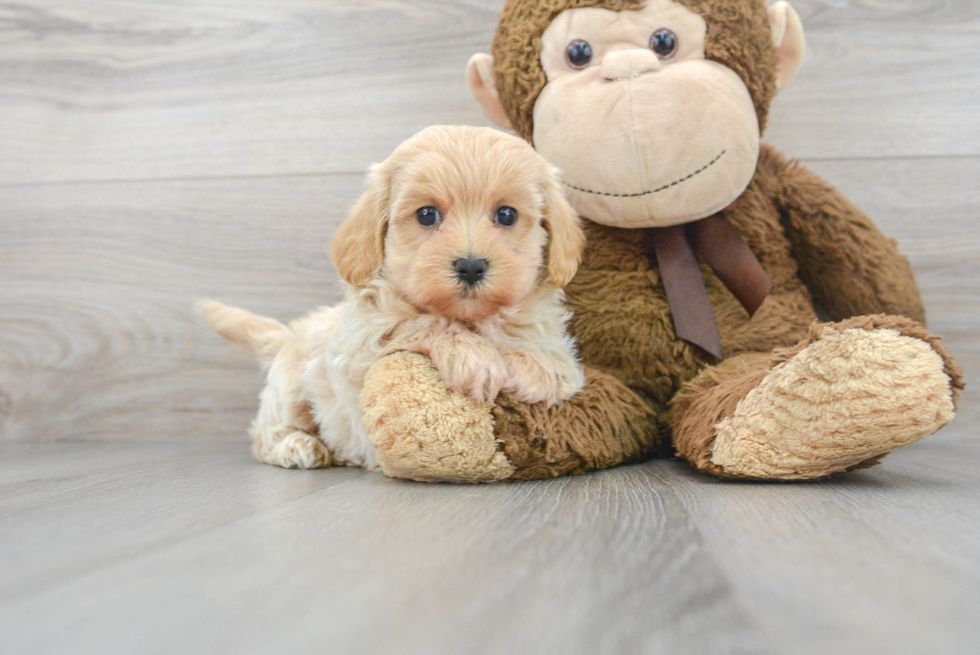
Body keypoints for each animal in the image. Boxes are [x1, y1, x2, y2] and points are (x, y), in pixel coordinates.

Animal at [198, 124, 580, 472]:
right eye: (426, 214)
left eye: (507, 214)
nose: (471, 266)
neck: (471, 318)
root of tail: (290, 334)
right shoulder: (355, 350)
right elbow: (418, 320)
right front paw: (475, 357)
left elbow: (554, 360)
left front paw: (536, 366)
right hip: (291, 387)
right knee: (265, 434)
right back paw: (298, 445)